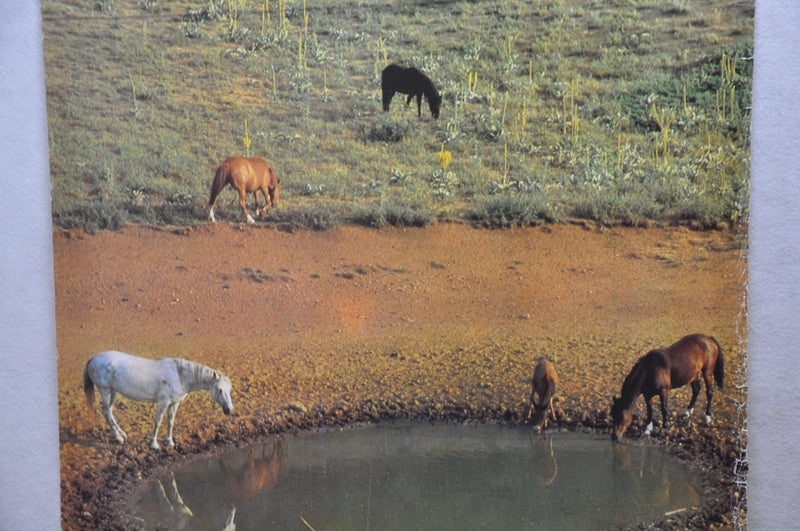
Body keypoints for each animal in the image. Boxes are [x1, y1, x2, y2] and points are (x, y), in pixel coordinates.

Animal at [84, 350, 233, 449]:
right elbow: (158, 422)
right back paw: (118, 438)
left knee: (109, 411)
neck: (179, 375)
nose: (229, 410)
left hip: (113, 392)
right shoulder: (163, 402)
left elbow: (170, 422)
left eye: (229, 389)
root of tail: (93, 359)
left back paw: (122, 433)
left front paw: (170, 441)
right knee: (106, 412)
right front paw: (154, 444)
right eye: (219, 390)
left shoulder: (174, 403)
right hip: (105, 390)